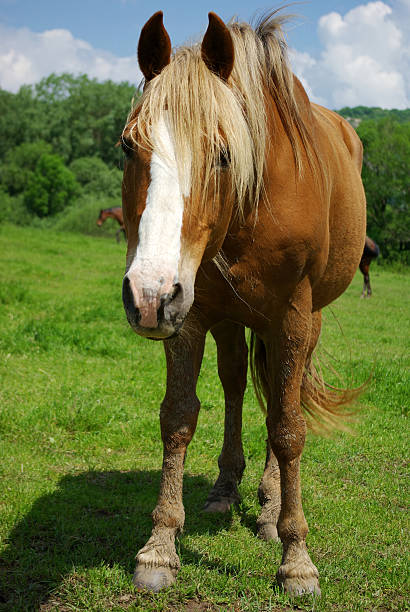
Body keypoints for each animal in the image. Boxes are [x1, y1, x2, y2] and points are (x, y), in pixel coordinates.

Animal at [118, 10, 366, 596]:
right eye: (127, 147)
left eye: (224, 154)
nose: (146, 295)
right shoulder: (188, 313)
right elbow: (178, 415)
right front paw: (160, 548)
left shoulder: (292, 316)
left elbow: (288, 426)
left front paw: (297, 557)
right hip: (226, 317)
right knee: (234, 384)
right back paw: (226, 487)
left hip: (299, 321)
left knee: (280, 396)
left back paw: (271, 507)